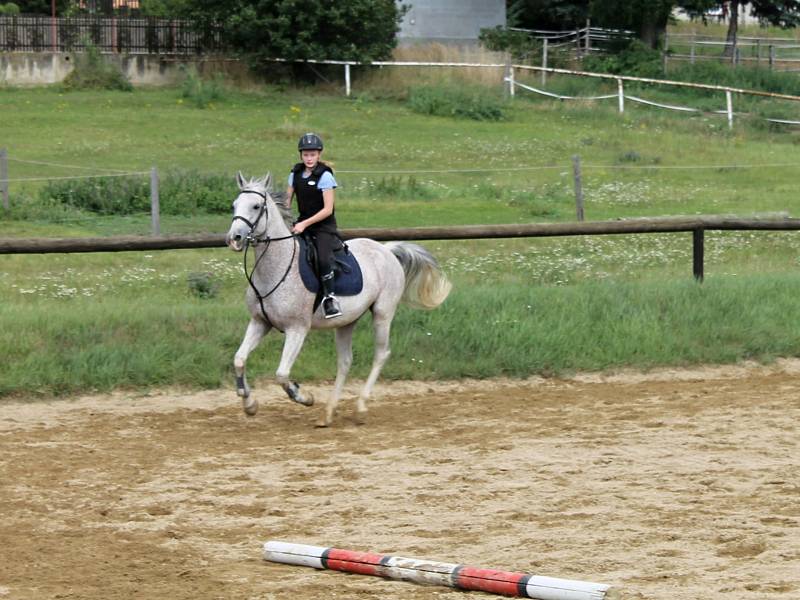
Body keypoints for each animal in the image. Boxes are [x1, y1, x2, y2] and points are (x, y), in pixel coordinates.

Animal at [227, 172, 450, 426]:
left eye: (256, 206)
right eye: (234, 205)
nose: (234, 238)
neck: (277, 267)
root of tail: (386, 250)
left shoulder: (297, 329)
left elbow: (282, 375)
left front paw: (304, 396)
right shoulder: (260, 322)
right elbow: (239, 359)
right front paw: (249, 404)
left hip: (382, 314)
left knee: (381, 354)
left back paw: (360, 407)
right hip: (346, 322)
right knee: (345, 362)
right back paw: (329, 412)